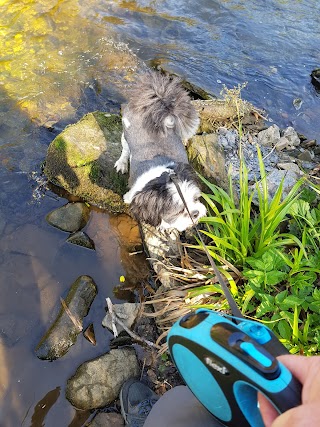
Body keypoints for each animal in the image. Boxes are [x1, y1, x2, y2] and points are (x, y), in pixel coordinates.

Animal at [114, 71, 206, 231]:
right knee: (125, 149)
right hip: (126, 133)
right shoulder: (132, 196)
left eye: (196, 199)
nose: (195, 213)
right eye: (180, 211)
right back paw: (122, 163)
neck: (162, 176)